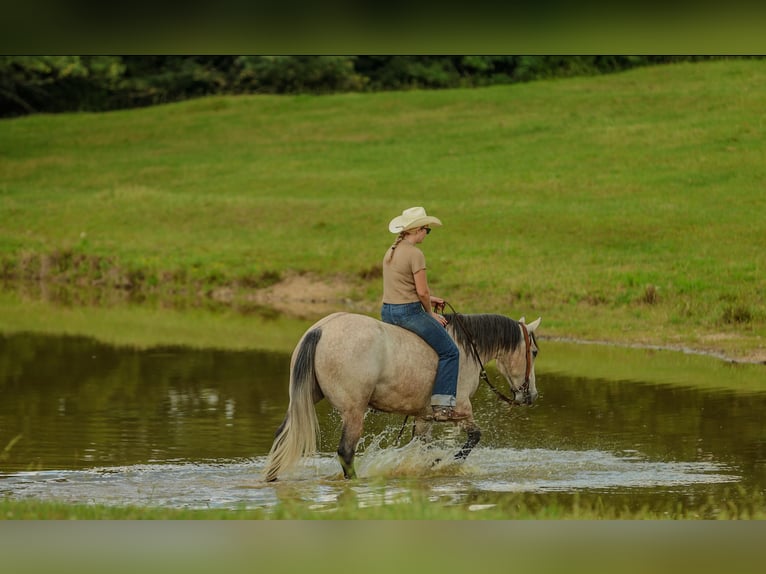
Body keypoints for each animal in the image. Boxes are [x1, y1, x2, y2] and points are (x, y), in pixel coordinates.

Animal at [263, 311, 541, 481]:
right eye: (535, 352)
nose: (531, 395)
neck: (466, 349)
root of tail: (320, 330)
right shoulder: (461, 409)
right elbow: (474, 437)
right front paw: (447, 463)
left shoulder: (423, 417)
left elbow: (422, 446)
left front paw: (430, 465)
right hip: (354, 412)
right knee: (346, 452)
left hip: (304, 398)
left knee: (282, 435)